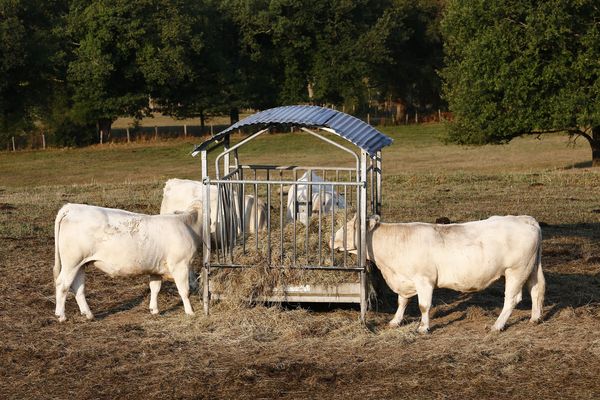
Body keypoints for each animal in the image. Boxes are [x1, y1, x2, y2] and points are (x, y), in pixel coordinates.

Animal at [52, 203, 202, 322]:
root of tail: (71, 207)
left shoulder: (156, 268)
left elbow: (155, 288)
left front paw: (154, 310)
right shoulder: (180, 265)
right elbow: (184, 290)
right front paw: (190, 312)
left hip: (80, 264)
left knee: (78, 287)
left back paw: (88, 314)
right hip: (71, 262)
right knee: (62, 284)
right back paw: (61, 316)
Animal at [330, 214, 548, 332]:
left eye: (347, 228)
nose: (330, 239)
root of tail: (525, 219)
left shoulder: (424, 279)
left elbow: (423, 305)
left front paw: (423, 327)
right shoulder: (405, 279)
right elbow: (402, 302)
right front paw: (395, 321)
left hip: (516, 270)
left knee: (512, 299)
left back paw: (497, 325)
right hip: (531, 269)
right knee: (536, 291)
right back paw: (535, 318)